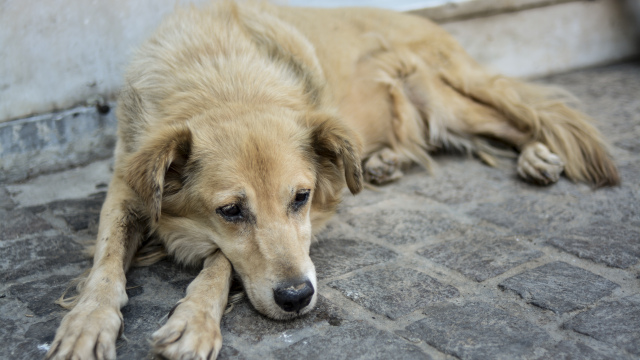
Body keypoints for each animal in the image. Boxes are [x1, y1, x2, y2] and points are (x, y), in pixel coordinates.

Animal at [45, 1, 616, 358]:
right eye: (230, 210)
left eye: (300, 198)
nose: (297, 297)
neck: (220, 79)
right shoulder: (126, 186)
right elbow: (106, 264)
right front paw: (88, 323)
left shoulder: (317, 214)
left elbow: (219, 264)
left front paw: (194, 320)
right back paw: (383, 161)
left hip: (445, 98)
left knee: (522, 119)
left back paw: (537, 156)